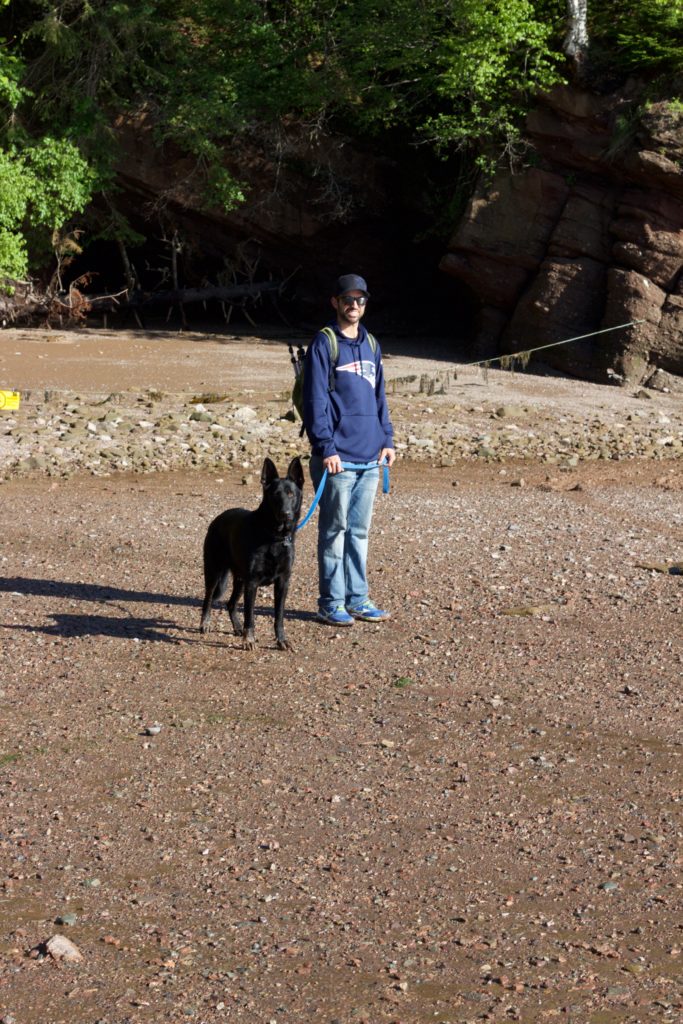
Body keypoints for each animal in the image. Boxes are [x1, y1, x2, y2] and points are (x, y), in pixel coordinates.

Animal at [198, 460, 303, 651]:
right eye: (275, 495)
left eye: (291, 494)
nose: (285, 514)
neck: (274, 536)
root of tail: (218, 518)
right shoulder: (252, 583)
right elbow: (250, 615)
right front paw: (249, 640)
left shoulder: (282, 583)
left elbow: (279, 616)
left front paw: (281, 640)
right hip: (215, 573)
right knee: (208, 599)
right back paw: (205, 624)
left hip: (240, 580)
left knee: (230, 604)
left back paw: (237, 628)